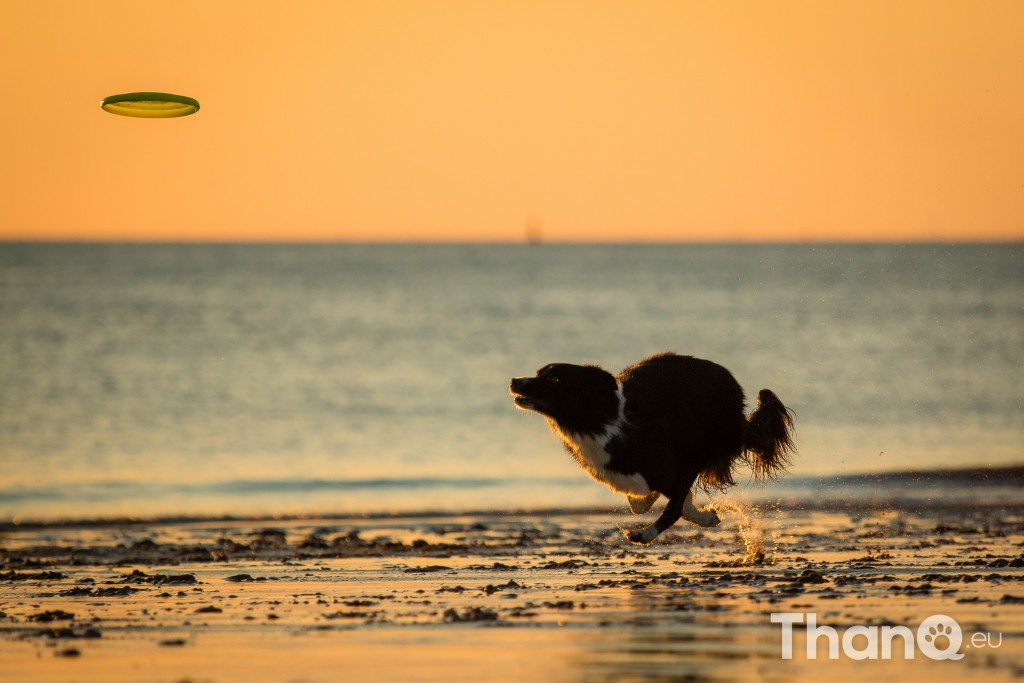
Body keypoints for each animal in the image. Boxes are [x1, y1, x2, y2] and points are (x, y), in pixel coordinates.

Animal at [509, 352, 790, 544]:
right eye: (539, 372)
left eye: (555, 378)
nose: (514, 381)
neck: (601, 421)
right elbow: (644, 502)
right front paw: (703, 515)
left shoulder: (677, 465)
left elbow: (673, 504)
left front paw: (647, 528)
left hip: (708, 441)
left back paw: (646, 533)